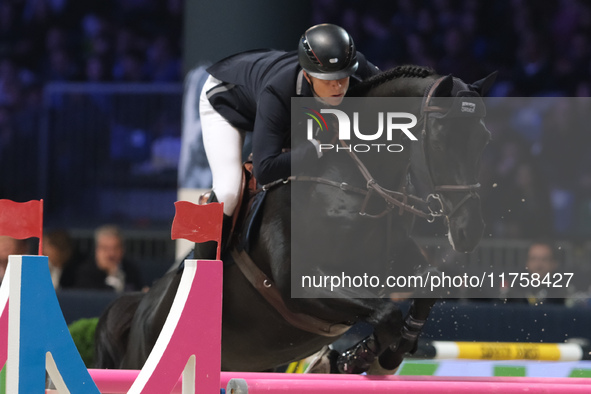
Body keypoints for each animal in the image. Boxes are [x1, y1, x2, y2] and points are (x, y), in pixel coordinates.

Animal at [96, 65, 494, 376]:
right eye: (439, 141)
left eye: (484, 140)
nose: (469, 232)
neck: (357, 186)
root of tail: (139, 309)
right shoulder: (300, 285)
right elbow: (387, 314)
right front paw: (366, 357)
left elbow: (430, 285)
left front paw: (370, 357)